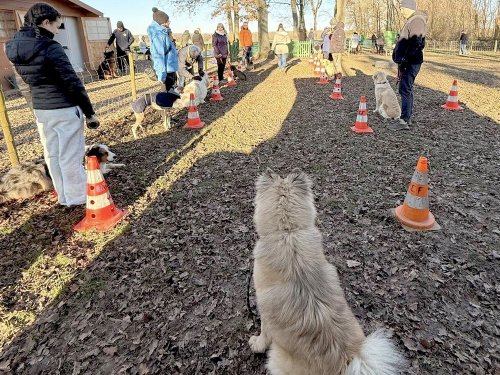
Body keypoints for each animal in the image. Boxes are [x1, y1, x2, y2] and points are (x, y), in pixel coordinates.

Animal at [248, 169, 404, 374]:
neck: (288, 232)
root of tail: (345, 359)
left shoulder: (265, 313)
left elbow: (264, 333)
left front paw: (256, 344)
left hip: (277, 358)